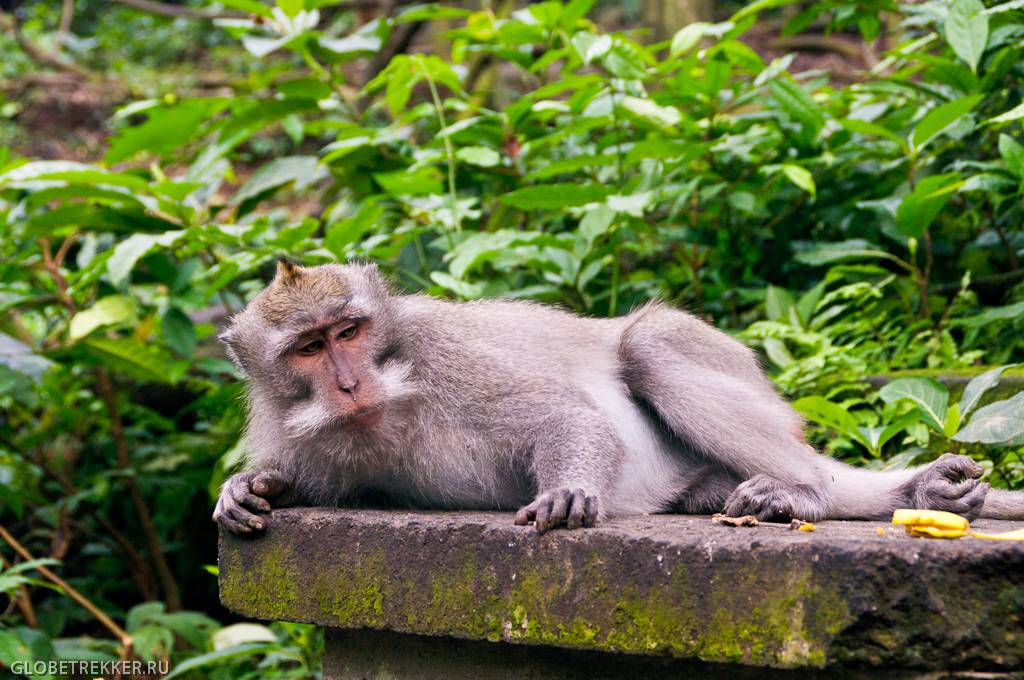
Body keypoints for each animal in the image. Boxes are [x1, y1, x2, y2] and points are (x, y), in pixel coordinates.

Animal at [211, 259, 1019, 532]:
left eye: (350, 330)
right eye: (310, 348)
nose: (349, 383)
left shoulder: (447, 359)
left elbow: (564, 417)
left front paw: (568, 490)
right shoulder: (290, 430)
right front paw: (250, 490)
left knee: (648, 346)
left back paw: (814, 493)